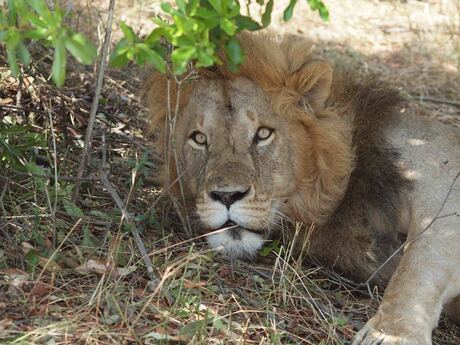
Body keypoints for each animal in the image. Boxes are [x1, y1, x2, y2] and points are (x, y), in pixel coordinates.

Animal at [146, 30, 460, 342]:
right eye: (199, 139)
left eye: (263, 134)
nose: (227, 195)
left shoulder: (442, 178)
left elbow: (418, 266)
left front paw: (392, 334)